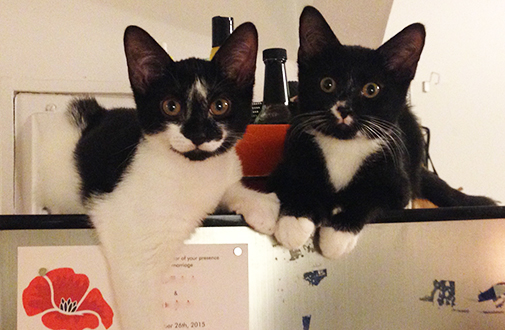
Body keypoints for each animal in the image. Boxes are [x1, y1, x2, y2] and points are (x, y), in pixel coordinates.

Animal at [67, 22, 278, 328]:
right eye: (171, 106)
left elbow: (229, 186)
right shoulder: (133, 262)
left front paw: (261, 205)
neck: (191, 171)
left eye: (220, 106)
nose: (198, 134)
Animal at [266, 6, 494, 260]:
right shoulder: (287, 163)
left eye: (371, 89)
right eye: (327, 84)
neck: (344, 146)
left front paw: (337, 234)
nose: (344, 108)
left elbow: (369, 198)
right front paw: (294, 222)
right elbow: (297, 185)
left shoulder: (396, 186)